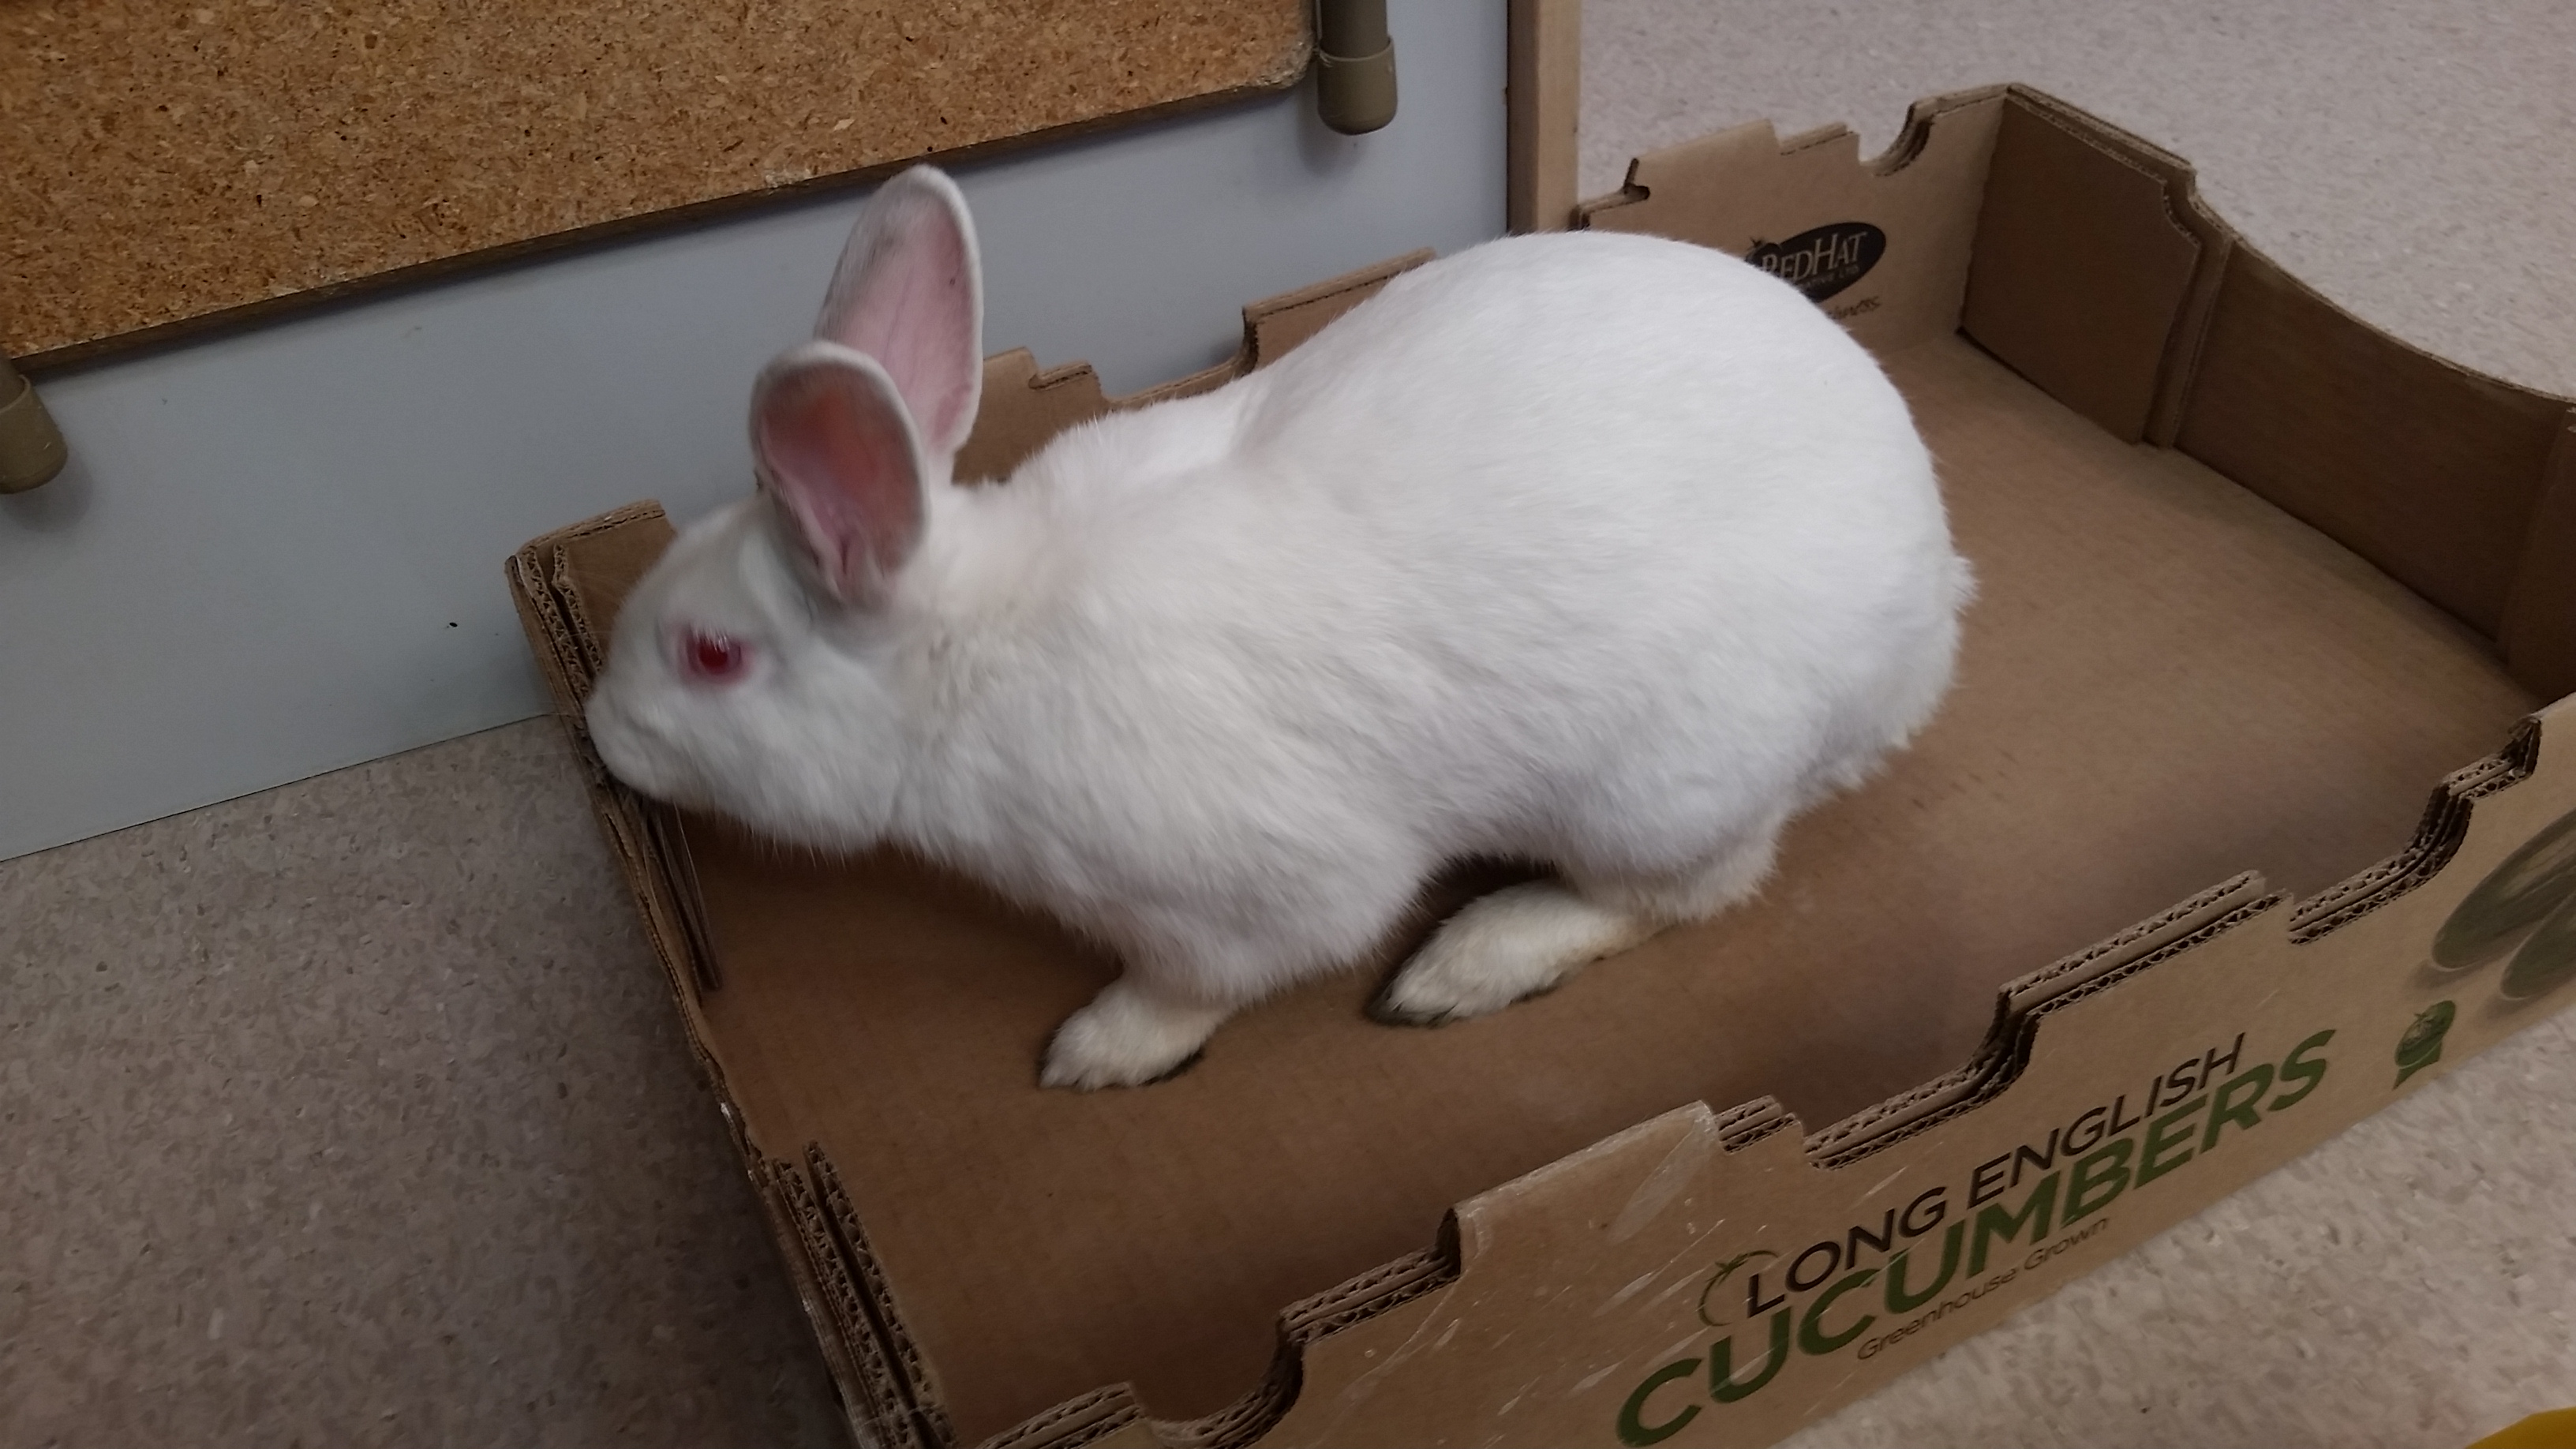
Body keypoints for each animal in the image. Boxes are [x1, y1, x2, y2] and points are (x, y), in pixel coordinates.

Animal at [584, 165, 1972, 1090]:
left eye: (712, 656)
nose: (599, 733)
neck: (970, 653)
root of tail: (1931, 605)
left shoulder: (1242, 901)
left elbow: (1213, 980)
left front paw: (1099, 1051)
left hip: (1660, 789)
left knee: (1687, 895)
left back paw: (1463, 967)